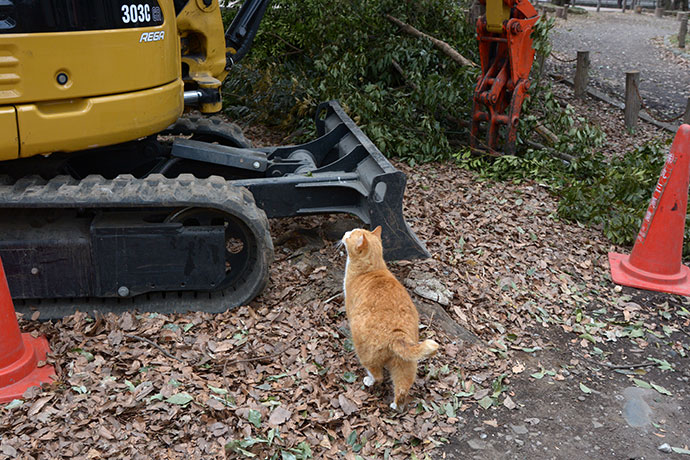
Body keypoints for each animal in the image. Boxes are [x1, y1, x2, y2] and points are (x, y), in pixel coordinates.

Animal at [342, 226, 438, 410]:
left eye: (350, 235)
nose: (344, 233)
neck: (373, 268)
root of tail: (397, 334)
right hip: (405, 365)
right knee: (402, 387)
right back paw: (395, 406)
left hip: (366, 354)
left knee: (378, 375)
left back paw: (369, 380)